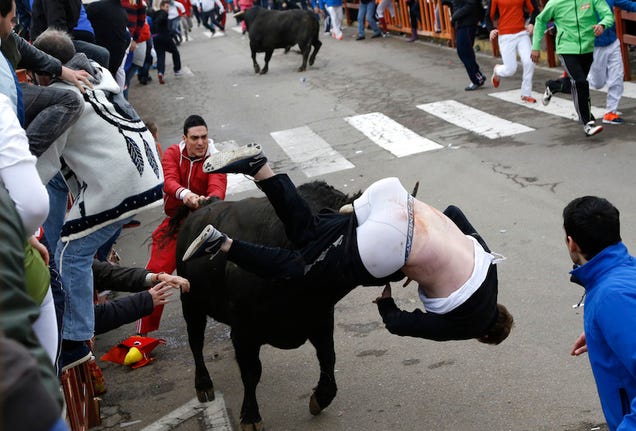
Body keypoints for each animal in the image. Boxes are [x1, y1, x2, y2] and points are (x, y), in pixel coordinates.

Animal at [174, 182, 362, 431]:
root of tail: (204, 206)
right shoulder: (243, 332)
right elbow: (251, 372)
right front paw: (250, 417)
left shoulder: (321, 319)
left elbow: (328, 357)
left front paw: (320, 398)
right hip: (191, 304)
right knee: (195, 342)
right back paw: (203, 385)